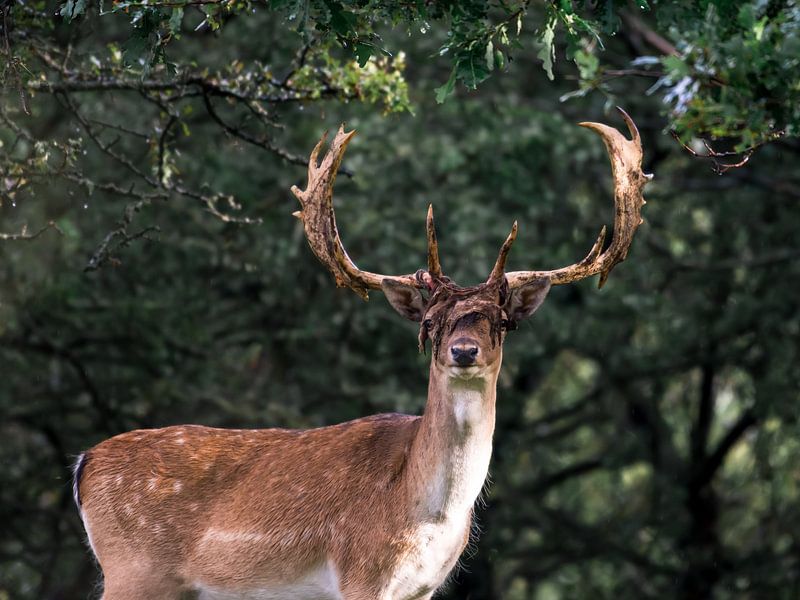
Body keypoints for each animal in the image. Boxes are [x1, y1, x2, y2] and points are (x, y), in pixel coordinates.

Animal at [73, 108, 650, 600]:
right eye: (430, 324)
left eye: (501, 322)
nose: (463, 351)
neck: (425, 514)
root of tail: (84, 464)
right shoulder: (360, 571)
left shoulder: (422, 588)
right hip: (134, 570)